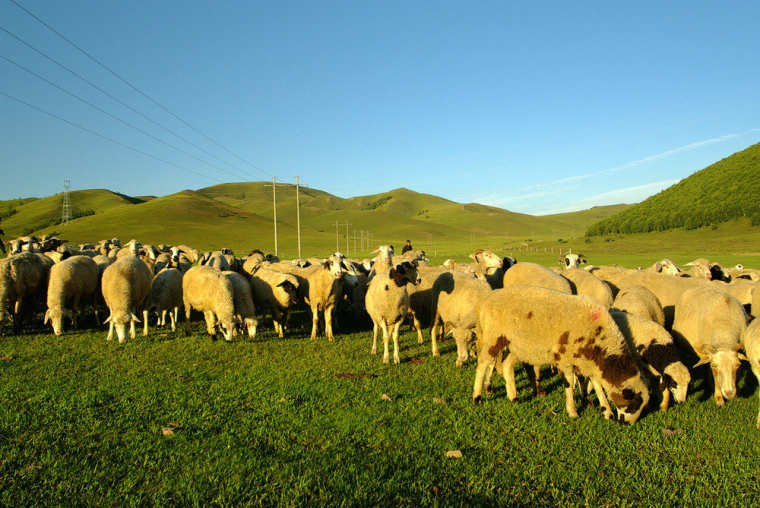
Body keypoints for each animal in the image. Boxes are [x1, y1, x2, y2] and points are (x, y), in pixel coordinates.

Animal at [476, 286, 648, 424]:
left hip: (517, 346)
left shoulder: (587, 362)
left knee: (507, 364)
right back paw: (477, 397)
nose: (627, 424)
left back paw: (513, 396)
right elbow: (569, 383)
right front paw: (573, 412)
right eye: (633, 405)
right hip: (493, 337)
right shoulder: (565, 358)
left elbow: (597, 385)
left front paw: (607, 411)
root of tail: (487, 300)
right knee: (482, 364)